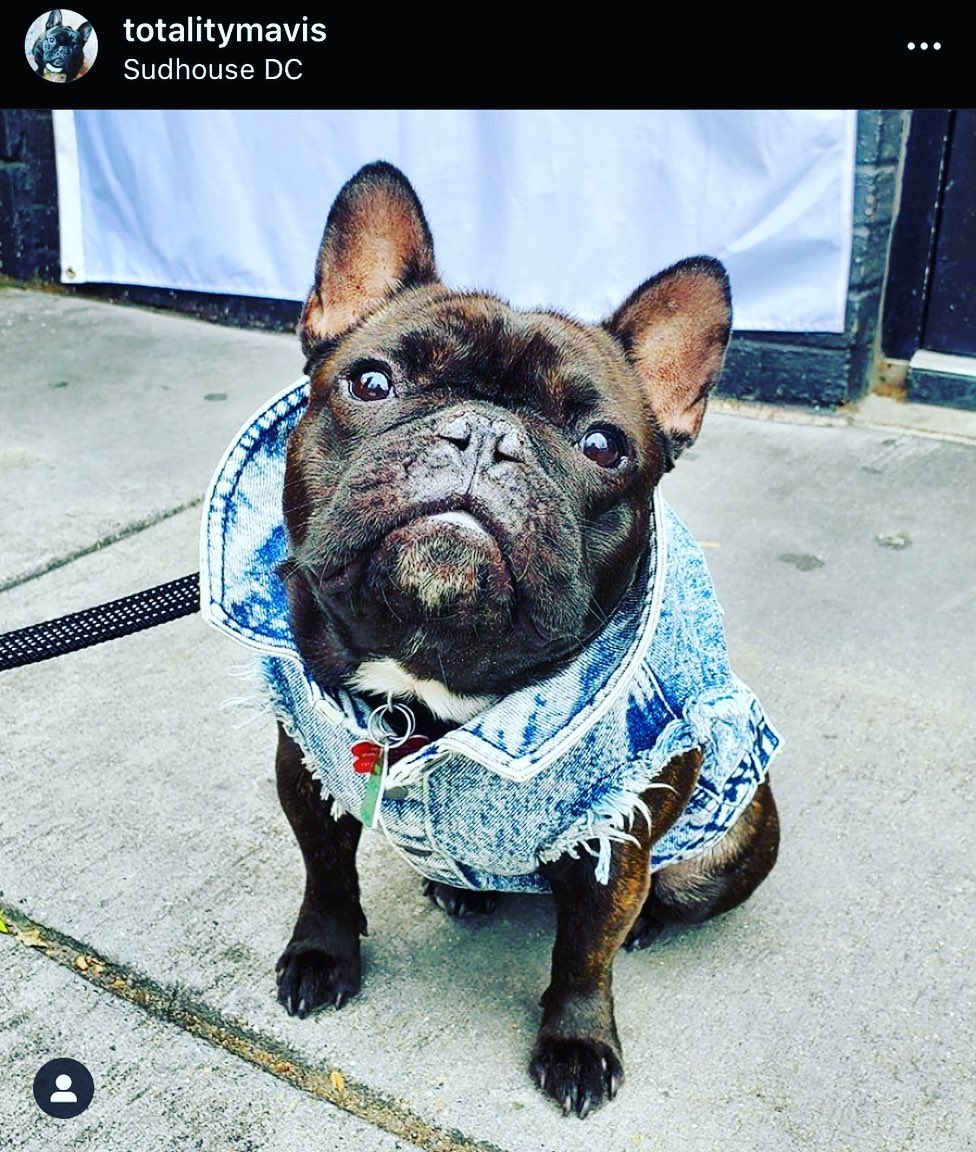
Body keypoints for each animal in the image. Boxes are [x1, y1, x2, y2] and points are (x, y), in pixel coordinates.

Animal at [203, 161, 782, 1117]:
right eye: (371, 383)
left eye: (603, 444)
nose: (485, 433)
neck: (426, 681)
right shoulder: (309, 767)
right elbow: (326, 874)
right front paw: (323, 955)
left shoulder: (613, 834)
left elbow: (584, 952)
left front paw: (578, 1043)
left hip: (726, 845)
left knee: (665, 897)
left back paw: (647, 924)